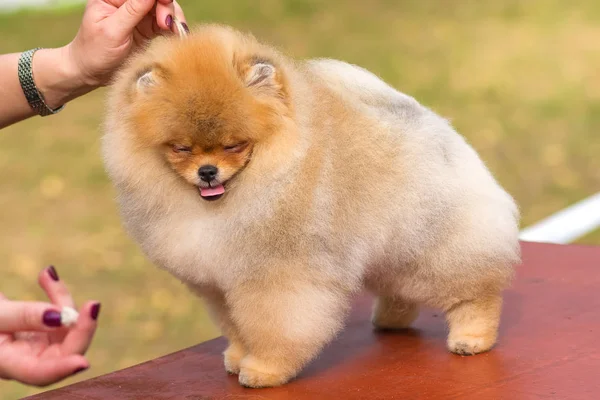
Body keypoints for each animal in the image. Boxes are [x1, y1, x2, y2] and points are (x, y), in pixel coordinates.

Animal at [102, 25, 520, 388]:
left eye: (234, 145)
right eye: (181, 148)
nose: (207, 172)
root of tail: (430, 119)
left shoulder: (276, 275)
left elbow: (274, 327)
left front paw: (263, 370)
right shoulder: (219, 282)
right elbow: (235, 325)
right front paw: (237, 356)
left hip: (434, 243)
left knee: (474, 288)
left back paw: (472, 335)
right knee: (399, 285)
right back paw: (390, 319)